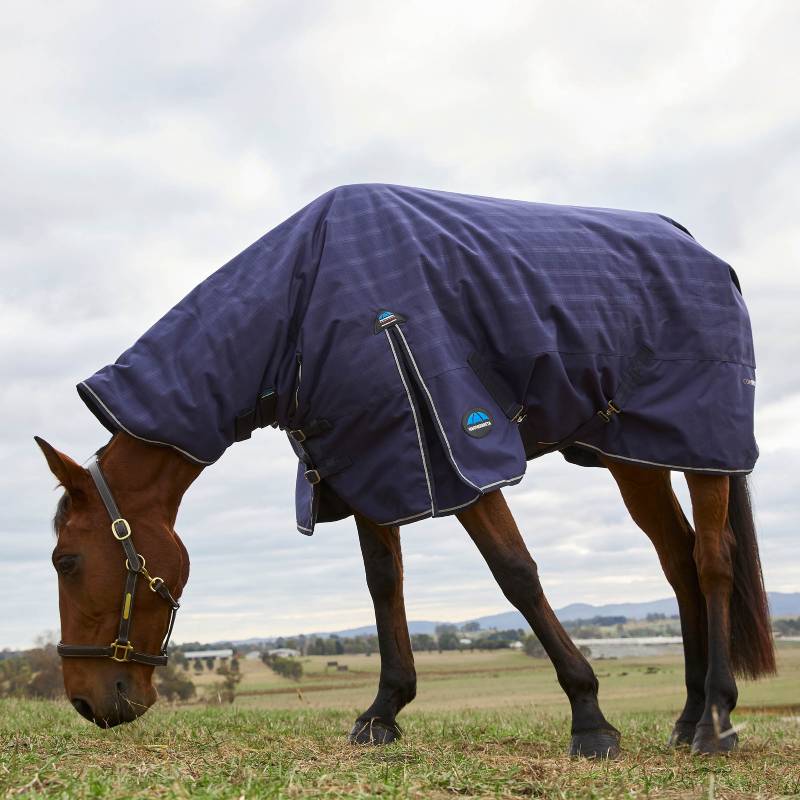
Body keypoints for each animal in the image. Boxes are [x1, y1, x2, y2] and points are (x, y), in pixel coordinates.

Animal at [36, 184, 775, 756]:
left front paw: (590, 720)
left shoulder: (456, 450)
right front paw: (383, 712)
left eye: (66, 561)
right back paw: (686, 717)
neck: (300, 302)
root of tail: (702, 252)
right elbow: (383, 585)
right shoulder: (369, 460)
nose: (86, 702)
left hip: (706, 447)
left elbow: (516, 575)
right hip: (639, 455)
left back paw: (714, 723)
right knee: (677, 562)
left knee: (712, 560)